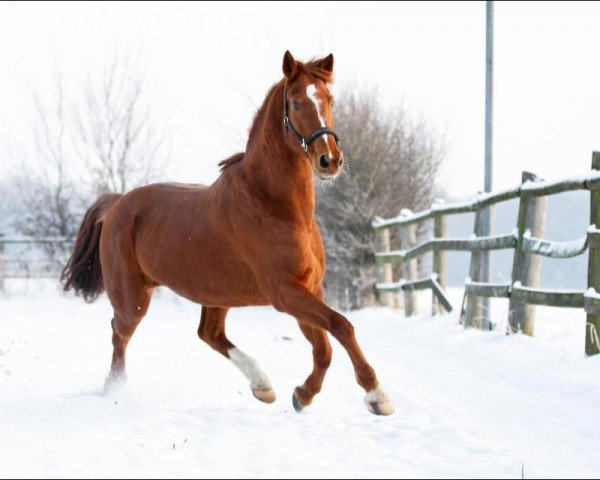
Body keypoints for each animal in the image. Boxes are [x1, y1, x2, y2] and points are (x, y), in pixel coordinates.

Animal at [63, 50, 396, 414]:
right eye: (296, 103)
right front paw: (377, 395)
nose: (329, 160)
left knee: (208, 333)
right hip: (133, 298)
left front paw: (302, 395)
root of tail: (117, 204)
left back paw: (262, 386)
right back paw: (116, 388)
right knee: (119, 333)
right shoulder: (284, 292)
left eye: (330, 100)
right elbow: (341, 326)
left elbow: (324, 348)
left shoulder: (309, 288)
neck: (276, 206)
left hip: (215, 293)